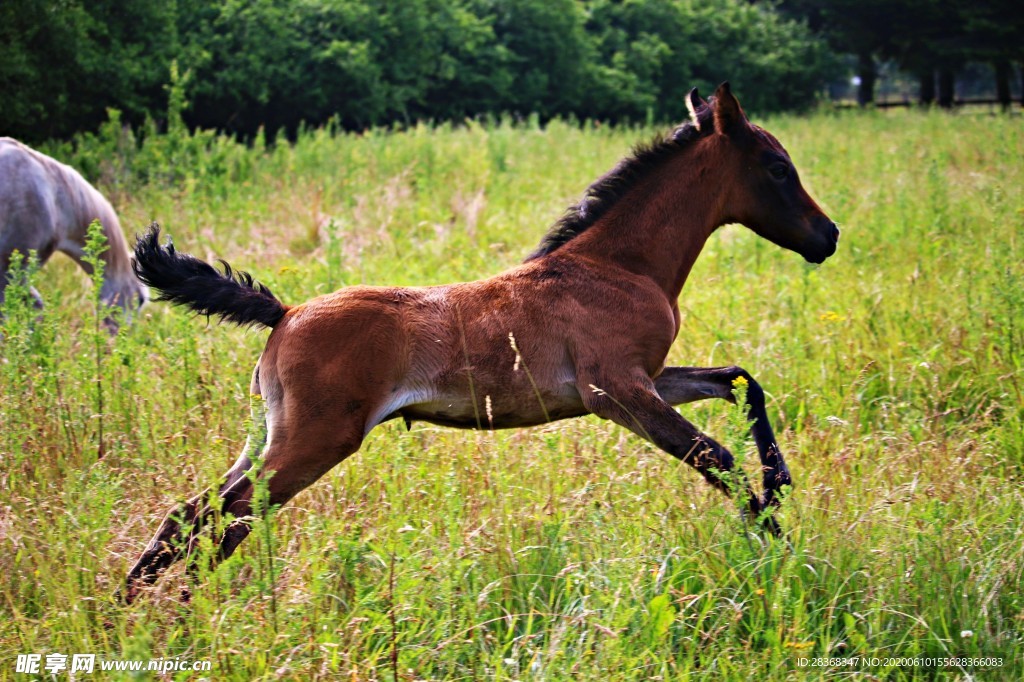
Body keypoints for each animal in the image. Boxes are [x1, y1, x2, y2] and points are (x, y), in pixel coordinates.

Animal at [123, 83, 838, 603]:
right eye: (778, 168)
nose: (827, 235)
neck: (618, 264)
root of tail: (287, 312)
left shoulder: (648, 379)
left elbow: (740, 381)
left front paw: (780, 485)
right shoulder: (616, 391)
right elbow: (715, 455)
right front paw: (779, 545)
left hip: (268, 433)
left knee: (191, 515)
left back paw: (136, 615)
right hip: (312, 441)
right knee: (226, 518)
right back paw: (182, 614)